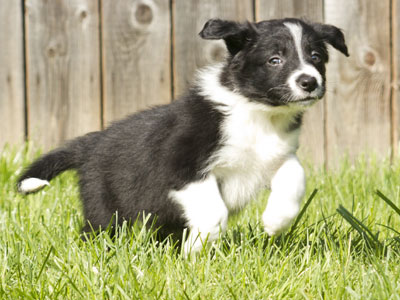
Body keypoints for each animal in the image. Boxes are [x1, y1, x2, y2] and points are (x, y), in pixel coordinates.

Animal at [17, 18, 348, 253]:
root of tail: (92, 141)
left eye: (316, 57)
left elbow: (295, 175)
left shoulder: (276, 154)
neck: (256, 112)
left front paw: (276, 221)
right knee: (97, 231)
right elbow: (214, 213)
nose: (309, 82)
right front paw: (194, 251)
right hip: (104, 205)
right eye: (275, 60)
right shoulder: (180, 166)